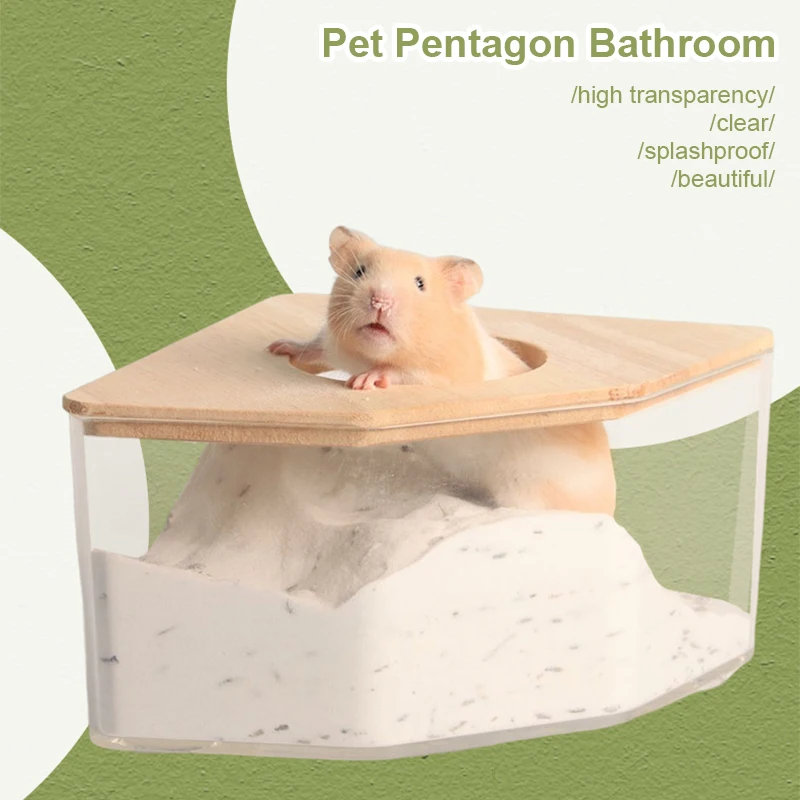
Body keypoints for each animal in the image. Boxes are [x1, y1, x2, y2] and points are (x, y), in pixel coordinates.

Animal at [268, 226, 616, 516]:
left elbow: (402, 373)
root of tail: (607, 508)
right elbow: (315, 347)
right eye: (359, 271)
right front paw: (279, 347)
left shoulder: (444, 376)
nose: (379, 301)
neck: (370, 354)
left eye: (420, 284)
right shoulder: (332, 344)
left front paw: (365, 381)